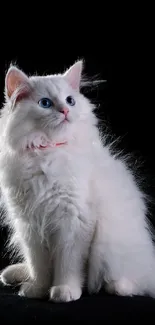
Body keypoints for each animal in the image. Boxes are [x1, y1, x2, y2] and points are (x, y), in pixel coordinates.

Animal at [0, 60, 155, 302]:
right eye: (45, 103)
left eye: (70, 100)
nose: (65, 111)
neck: (47, 151)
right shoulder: (30, 225)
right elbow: (40, 266)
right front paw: (37, 289)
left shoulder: (73, 220)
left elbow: (68, 264)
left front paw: (64, 290)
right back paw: (15, 274)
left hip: (112, 247)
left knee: (136, 282)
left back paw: (118, 286)